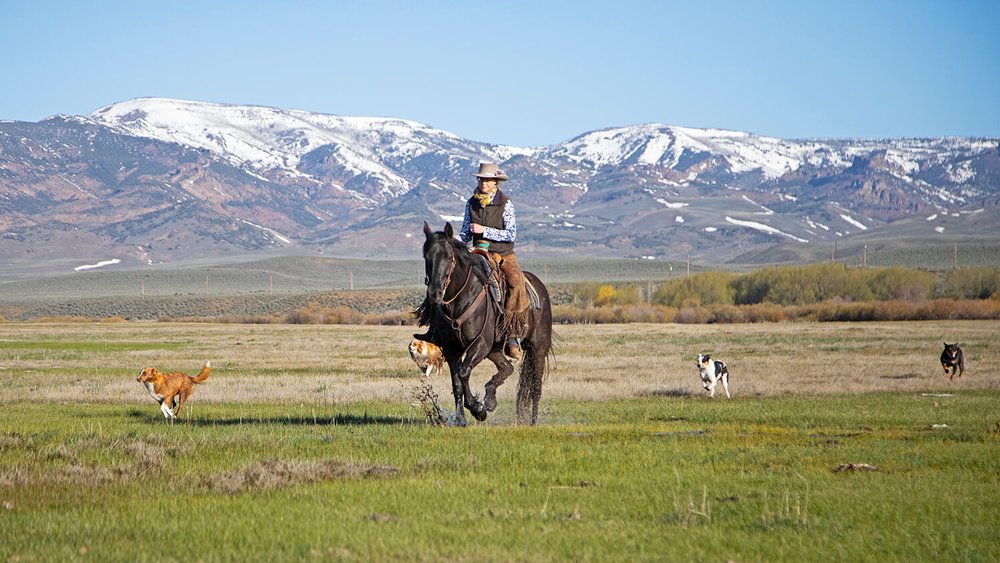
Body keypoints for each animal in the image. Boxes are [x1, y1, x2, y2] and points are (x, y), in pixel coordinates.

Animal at [414, 222, 552, 426]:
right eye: (426, 256)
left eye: (449, 257)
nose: (434, 294)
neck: (460, 301)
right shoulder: (451, 348)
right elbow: (457, 383)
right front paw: (461, 419)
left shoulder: (480, 343)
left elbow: (464, 372)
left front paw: (477, 409)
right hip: (494, 349)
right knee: (507, 367)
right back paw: (491, 399)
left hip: (537, 347)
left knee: (536, 385)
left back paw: (532, 421)